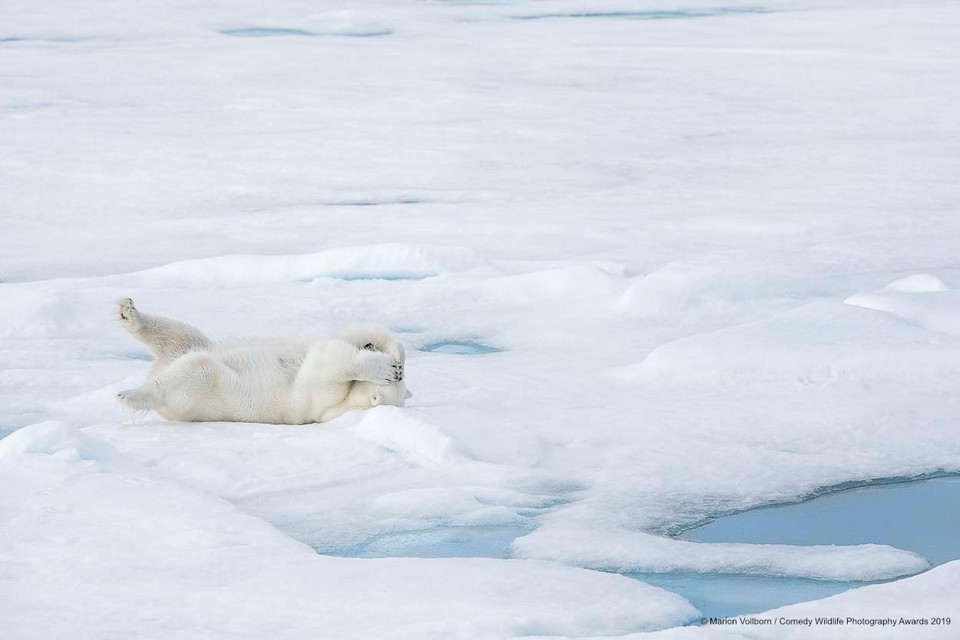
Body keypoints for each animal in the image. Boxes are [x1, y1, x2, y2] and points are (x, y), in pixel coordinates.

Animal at [114, 298, 410, 424]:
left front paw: (382, 368)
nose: (371, 349)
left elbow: (328, 361)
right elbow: (347, 336)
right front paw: (394, 357)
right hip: (189, 345)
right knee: (180, 335)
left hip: (198, 393)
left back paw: (130, 394)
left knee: (194, 368)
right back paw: (129, 312)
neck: (349, 403)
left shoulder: (321, 401)